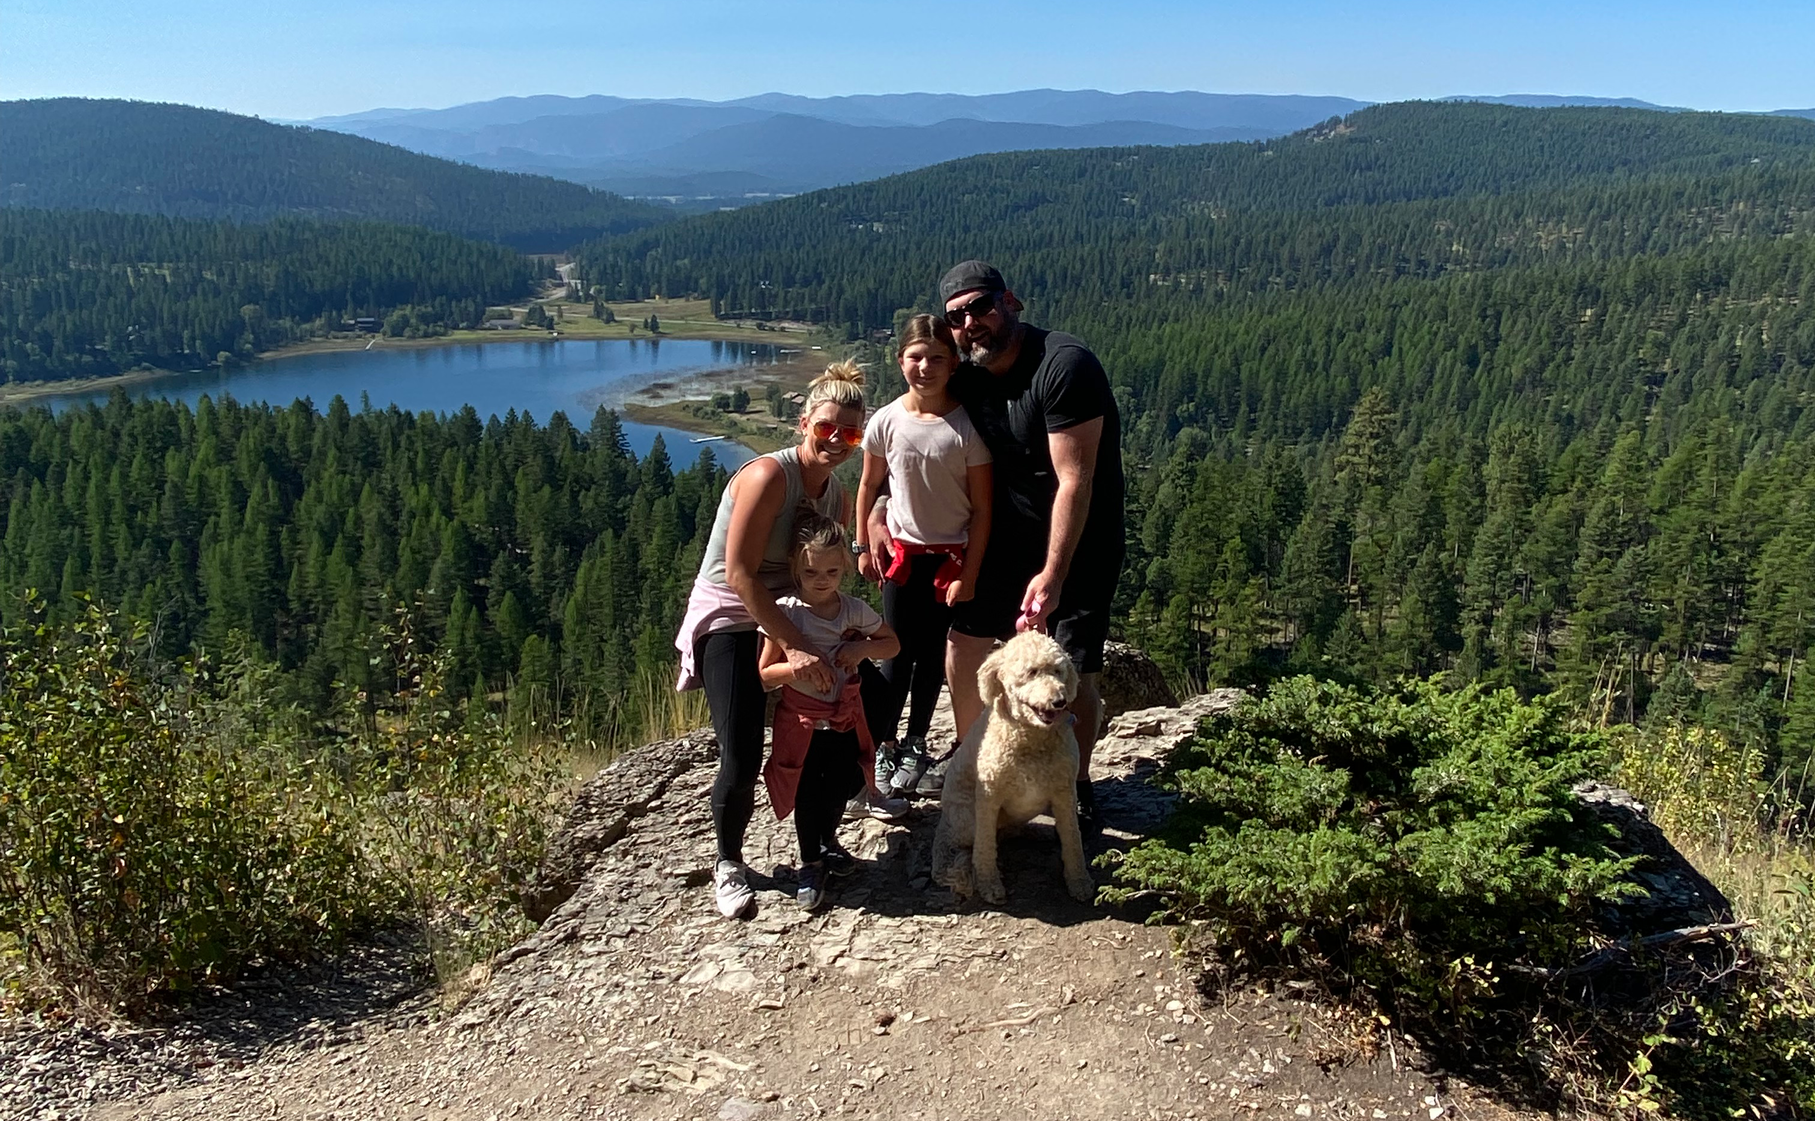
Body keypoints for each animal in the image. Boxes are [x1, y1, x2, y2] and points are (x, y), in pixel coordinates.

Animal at [936, 631, 1089, 903]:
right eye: (1032, 672)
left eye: (1058, 671)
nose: (1059, 701)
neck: (1031, 738)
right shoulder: (988, 797)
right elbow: (985, 846)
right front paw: (988, 883)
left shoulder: (1065, 793)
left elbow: (1073, 839)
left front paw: (1079, 881)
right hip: (965, 817)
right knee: (966, 844)